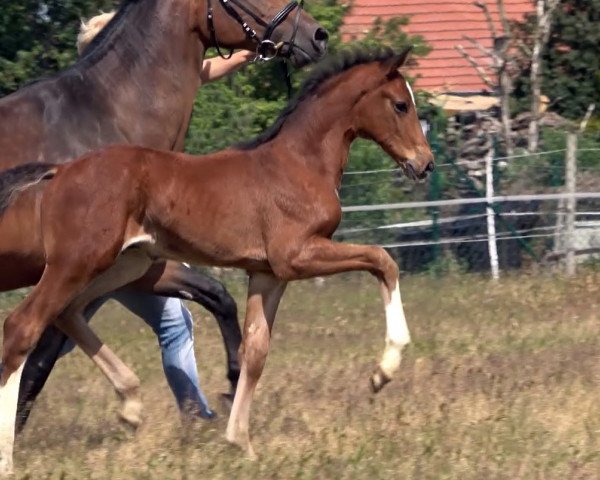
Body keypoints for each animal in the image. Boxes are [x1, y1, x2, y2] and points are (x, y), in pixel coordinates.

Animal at [0, 0, 328, 438]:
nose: (317, 35)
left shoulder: (142, 264)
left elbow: (217, 295)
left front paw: (231, 382)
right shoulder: (81, 270)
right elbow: (45, 350)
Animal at [0, 46, 432, 468]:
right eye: (400, 105)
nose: (425, 164)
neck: (298, 163)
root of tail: (60, 171)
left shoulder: (268, 273)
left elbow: (255, 351)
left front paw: (241, 443)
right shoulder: (296, 255)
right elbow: (382, 259)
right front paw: (384, 370)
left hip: (127, 264)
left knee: (67, 313)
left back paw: (131, 403)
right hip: (79, 261)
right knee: (23, 325)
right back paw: (10, 457)